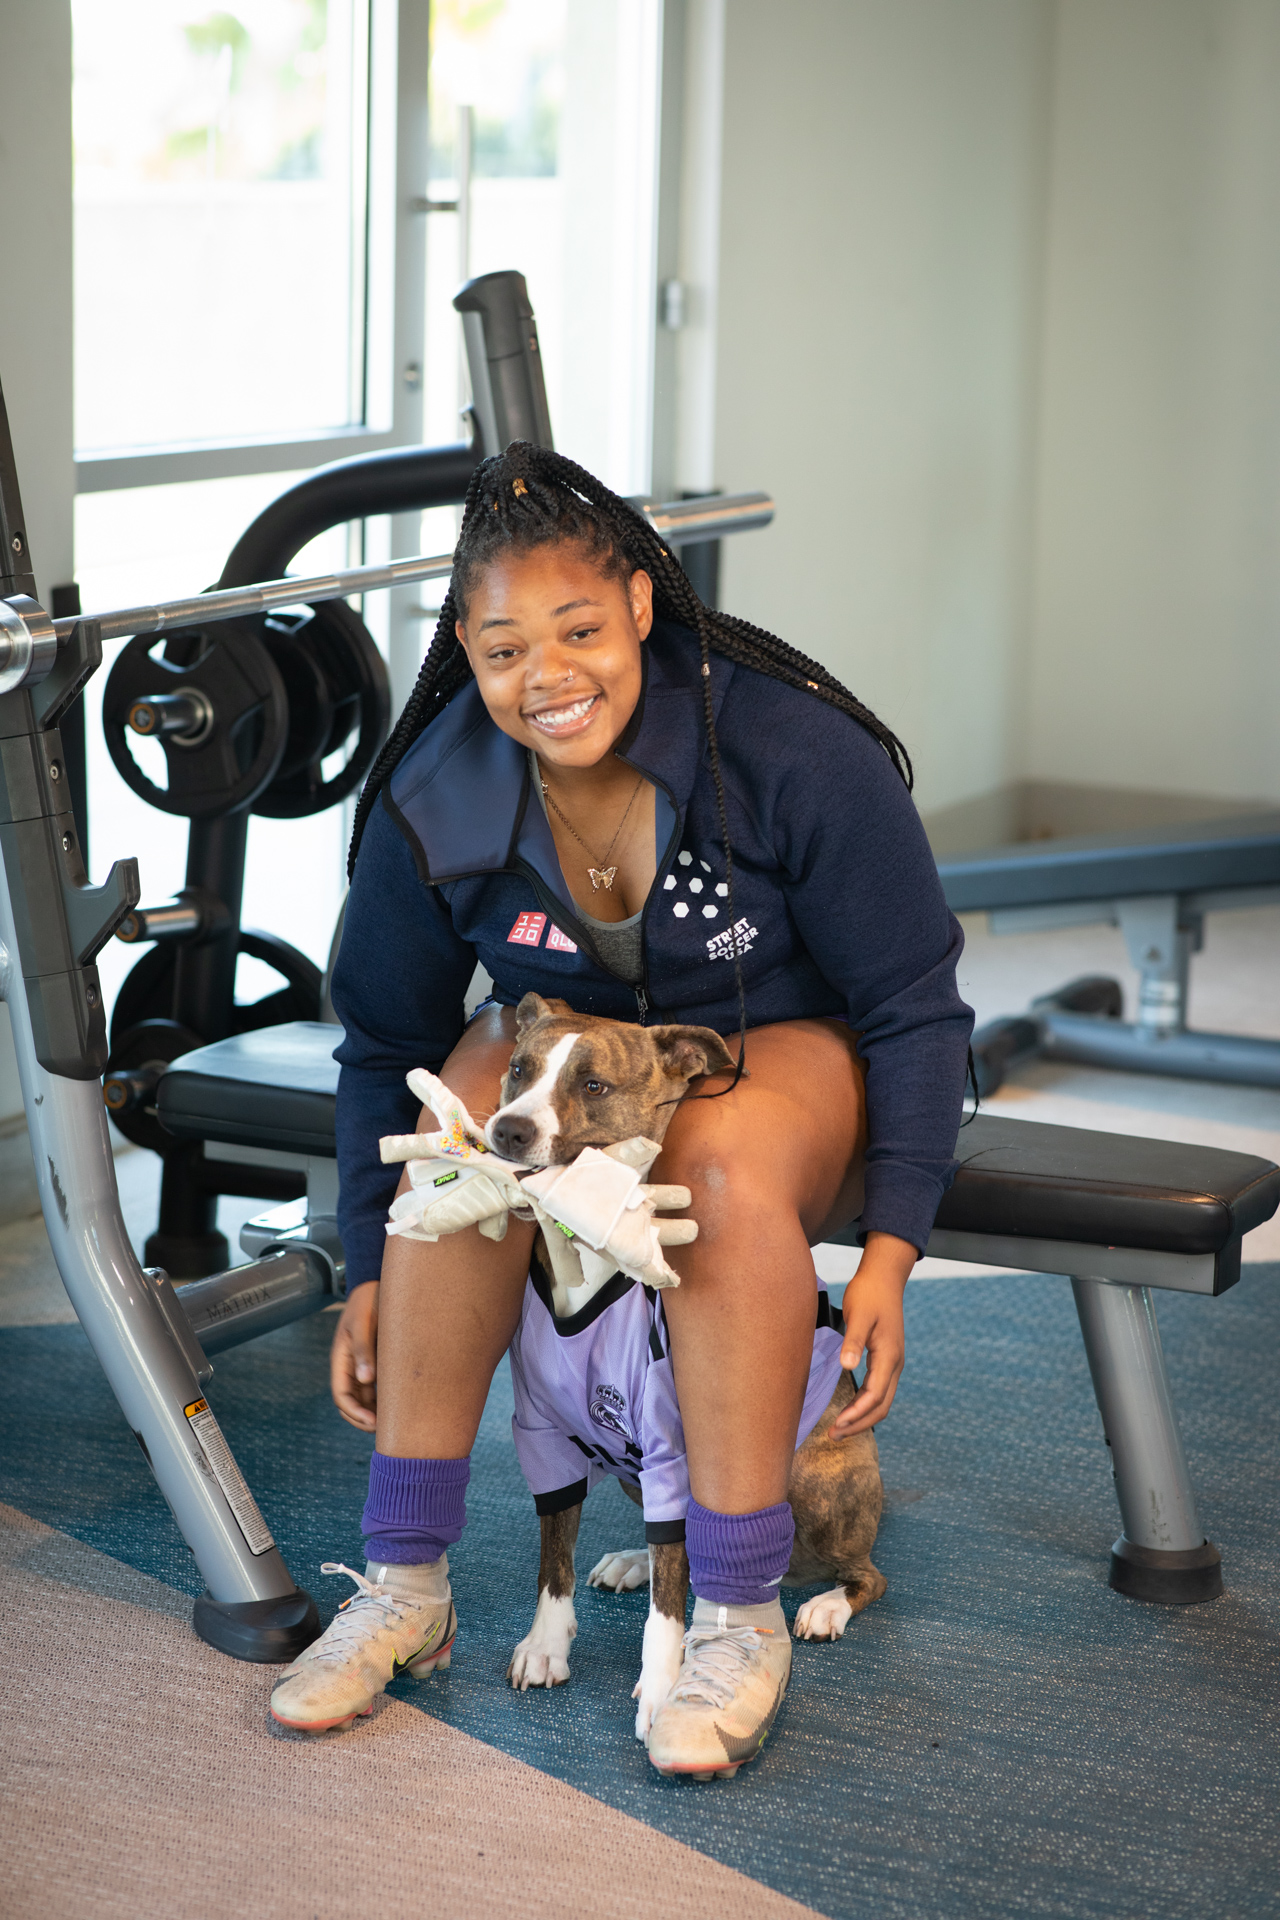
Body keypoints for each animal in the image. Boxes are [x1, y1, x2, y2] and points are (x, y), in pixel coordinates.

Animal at [485, 998, 886, 1751]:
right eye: (519, 1069)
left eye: (593, 1085)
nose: (508, 1128)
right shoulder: (543, 1437)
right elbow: (555, 1559)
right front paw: (546, 1644)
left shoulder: (675, 1451)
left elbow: (669, 1607)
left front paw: (663, 1687)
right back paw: (634, 1561)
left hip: (814, 1487)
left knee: (862, 1574)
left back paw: (826, 1605)